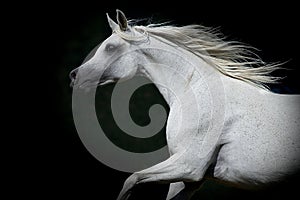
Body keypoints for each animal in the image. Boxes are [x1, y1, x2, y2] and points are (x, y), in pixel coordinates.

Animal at [70, 9, 300, 200]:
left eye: (110, 47)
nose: (74, 75)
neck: (195, 91)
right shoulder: (187, 181)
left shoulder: (188, 166)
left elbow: (131, 179)